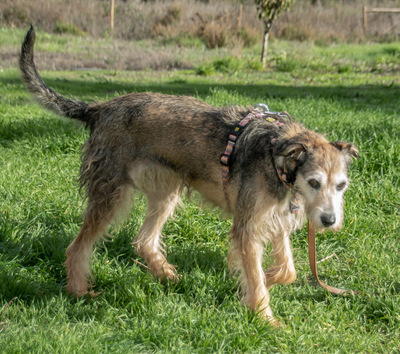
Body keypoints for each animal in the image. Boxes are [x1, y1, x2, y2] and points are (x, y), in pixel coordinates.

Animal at [19, 27, 360, 326]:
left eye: (340, 186)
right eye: (314, 182)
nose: (329, 221)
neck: (278, 158)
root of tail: (100, 108)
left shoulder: (276, 218)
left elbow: (287, 269)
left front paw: (261, 281)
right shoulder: (248, 227)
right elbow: (256, 273)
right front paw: (265, 317)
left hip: (166, 192)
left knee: (144, 241)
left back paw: (166, 274)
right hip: (110, 194)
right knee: (77, 247)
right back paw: (79, 291)